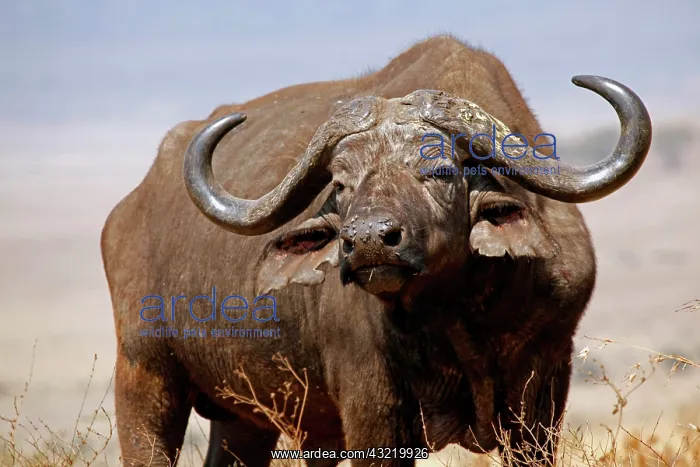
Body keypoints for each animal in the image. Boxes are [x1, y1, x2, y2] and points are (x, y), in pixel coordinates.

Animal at [101, 35, 651, 466]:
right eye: (341, 184)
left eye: (439, 170)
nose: (366, 241)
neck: (458, 317)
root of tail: (127, 211)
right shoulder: (373, 411)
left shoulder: (542, 394)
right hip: (144, 379)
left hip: (249, 418)